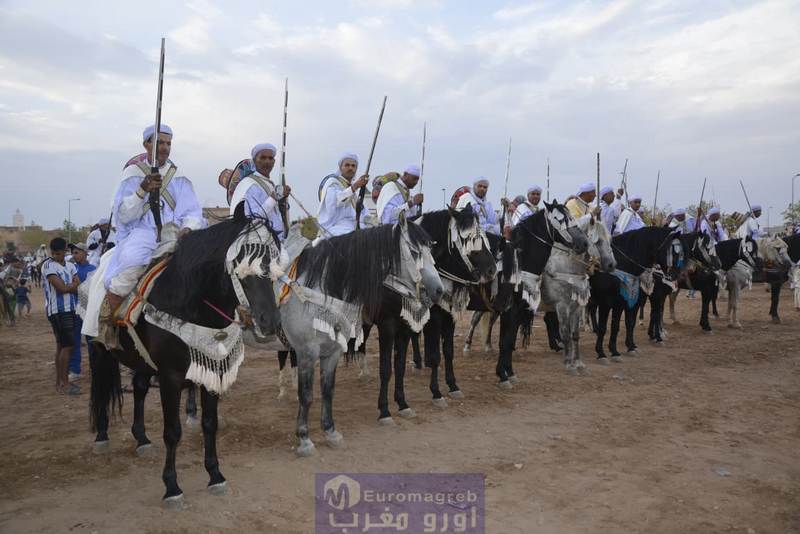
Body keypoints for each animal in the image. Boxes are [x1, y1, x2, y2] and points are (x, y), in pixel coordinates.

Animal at [89, 204, 283, 505]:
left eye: (273, 264)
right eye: (242, 264)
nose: (269, 321)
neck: (188, 300)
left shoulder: (213, 369)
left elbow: (209, 423)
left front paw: (215, 475)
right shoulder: (171, 376)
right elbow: (172, 432)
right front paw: (172, 486)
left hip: (142, 361)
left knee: (140, 388)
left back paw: (141, 438)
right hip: (99, 352)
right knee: (100, 387)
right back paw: (101, 435)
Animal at [277, 218, 440, 456]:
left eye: (431, 249)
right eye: (414, 251)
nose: (439, 290)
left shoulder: (337, 348)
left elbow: (329, 390)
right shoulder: (310, 349)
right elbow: (307, 395)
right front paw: (305, 440)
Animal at [418, 207, 497, 406]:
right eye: (468, 238)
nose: (492, 270)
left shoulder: (448, 314)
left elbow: (448, 351)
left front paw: (453, 386)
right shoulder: (434, 316)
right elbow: (436, 355)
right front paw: (436, 392)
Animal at [497, 201, 590, 385]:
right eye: (560, 220)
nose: (584, 243)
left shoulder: (514, 310)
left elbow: (507, 340)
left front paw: (507, 372)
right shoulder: (513, 310)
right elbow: (507, 340)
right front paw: (504, 376)